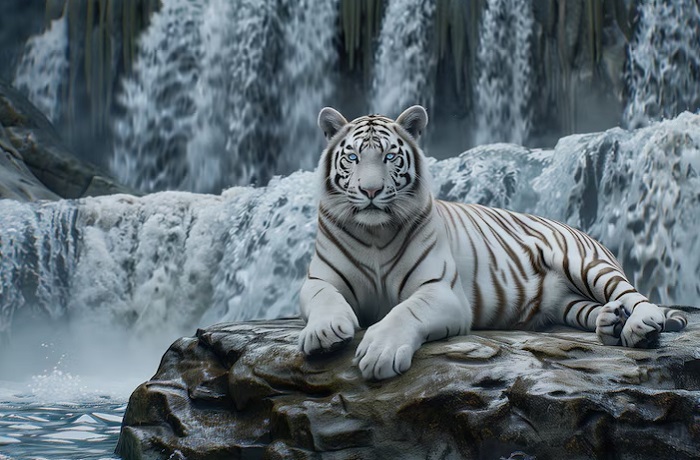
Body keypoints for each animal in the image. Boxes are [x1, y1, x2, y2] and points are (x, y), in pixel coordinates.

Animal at [298, 105, 688, 381]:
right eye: (352, 157)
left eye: (390, 157)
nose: (371, 191)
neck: (374, 234)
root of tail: (581, 230)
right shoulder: (320, 280)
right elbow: (324, 298)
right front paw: (323, 331)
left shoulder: (442, 291)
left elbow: (405, 311)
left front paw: (380, 351)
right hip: (567, 304)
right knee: (595, 308)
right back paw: (612, 322)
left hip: (586, 264)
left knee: (634, 295)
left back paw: (640, 325)